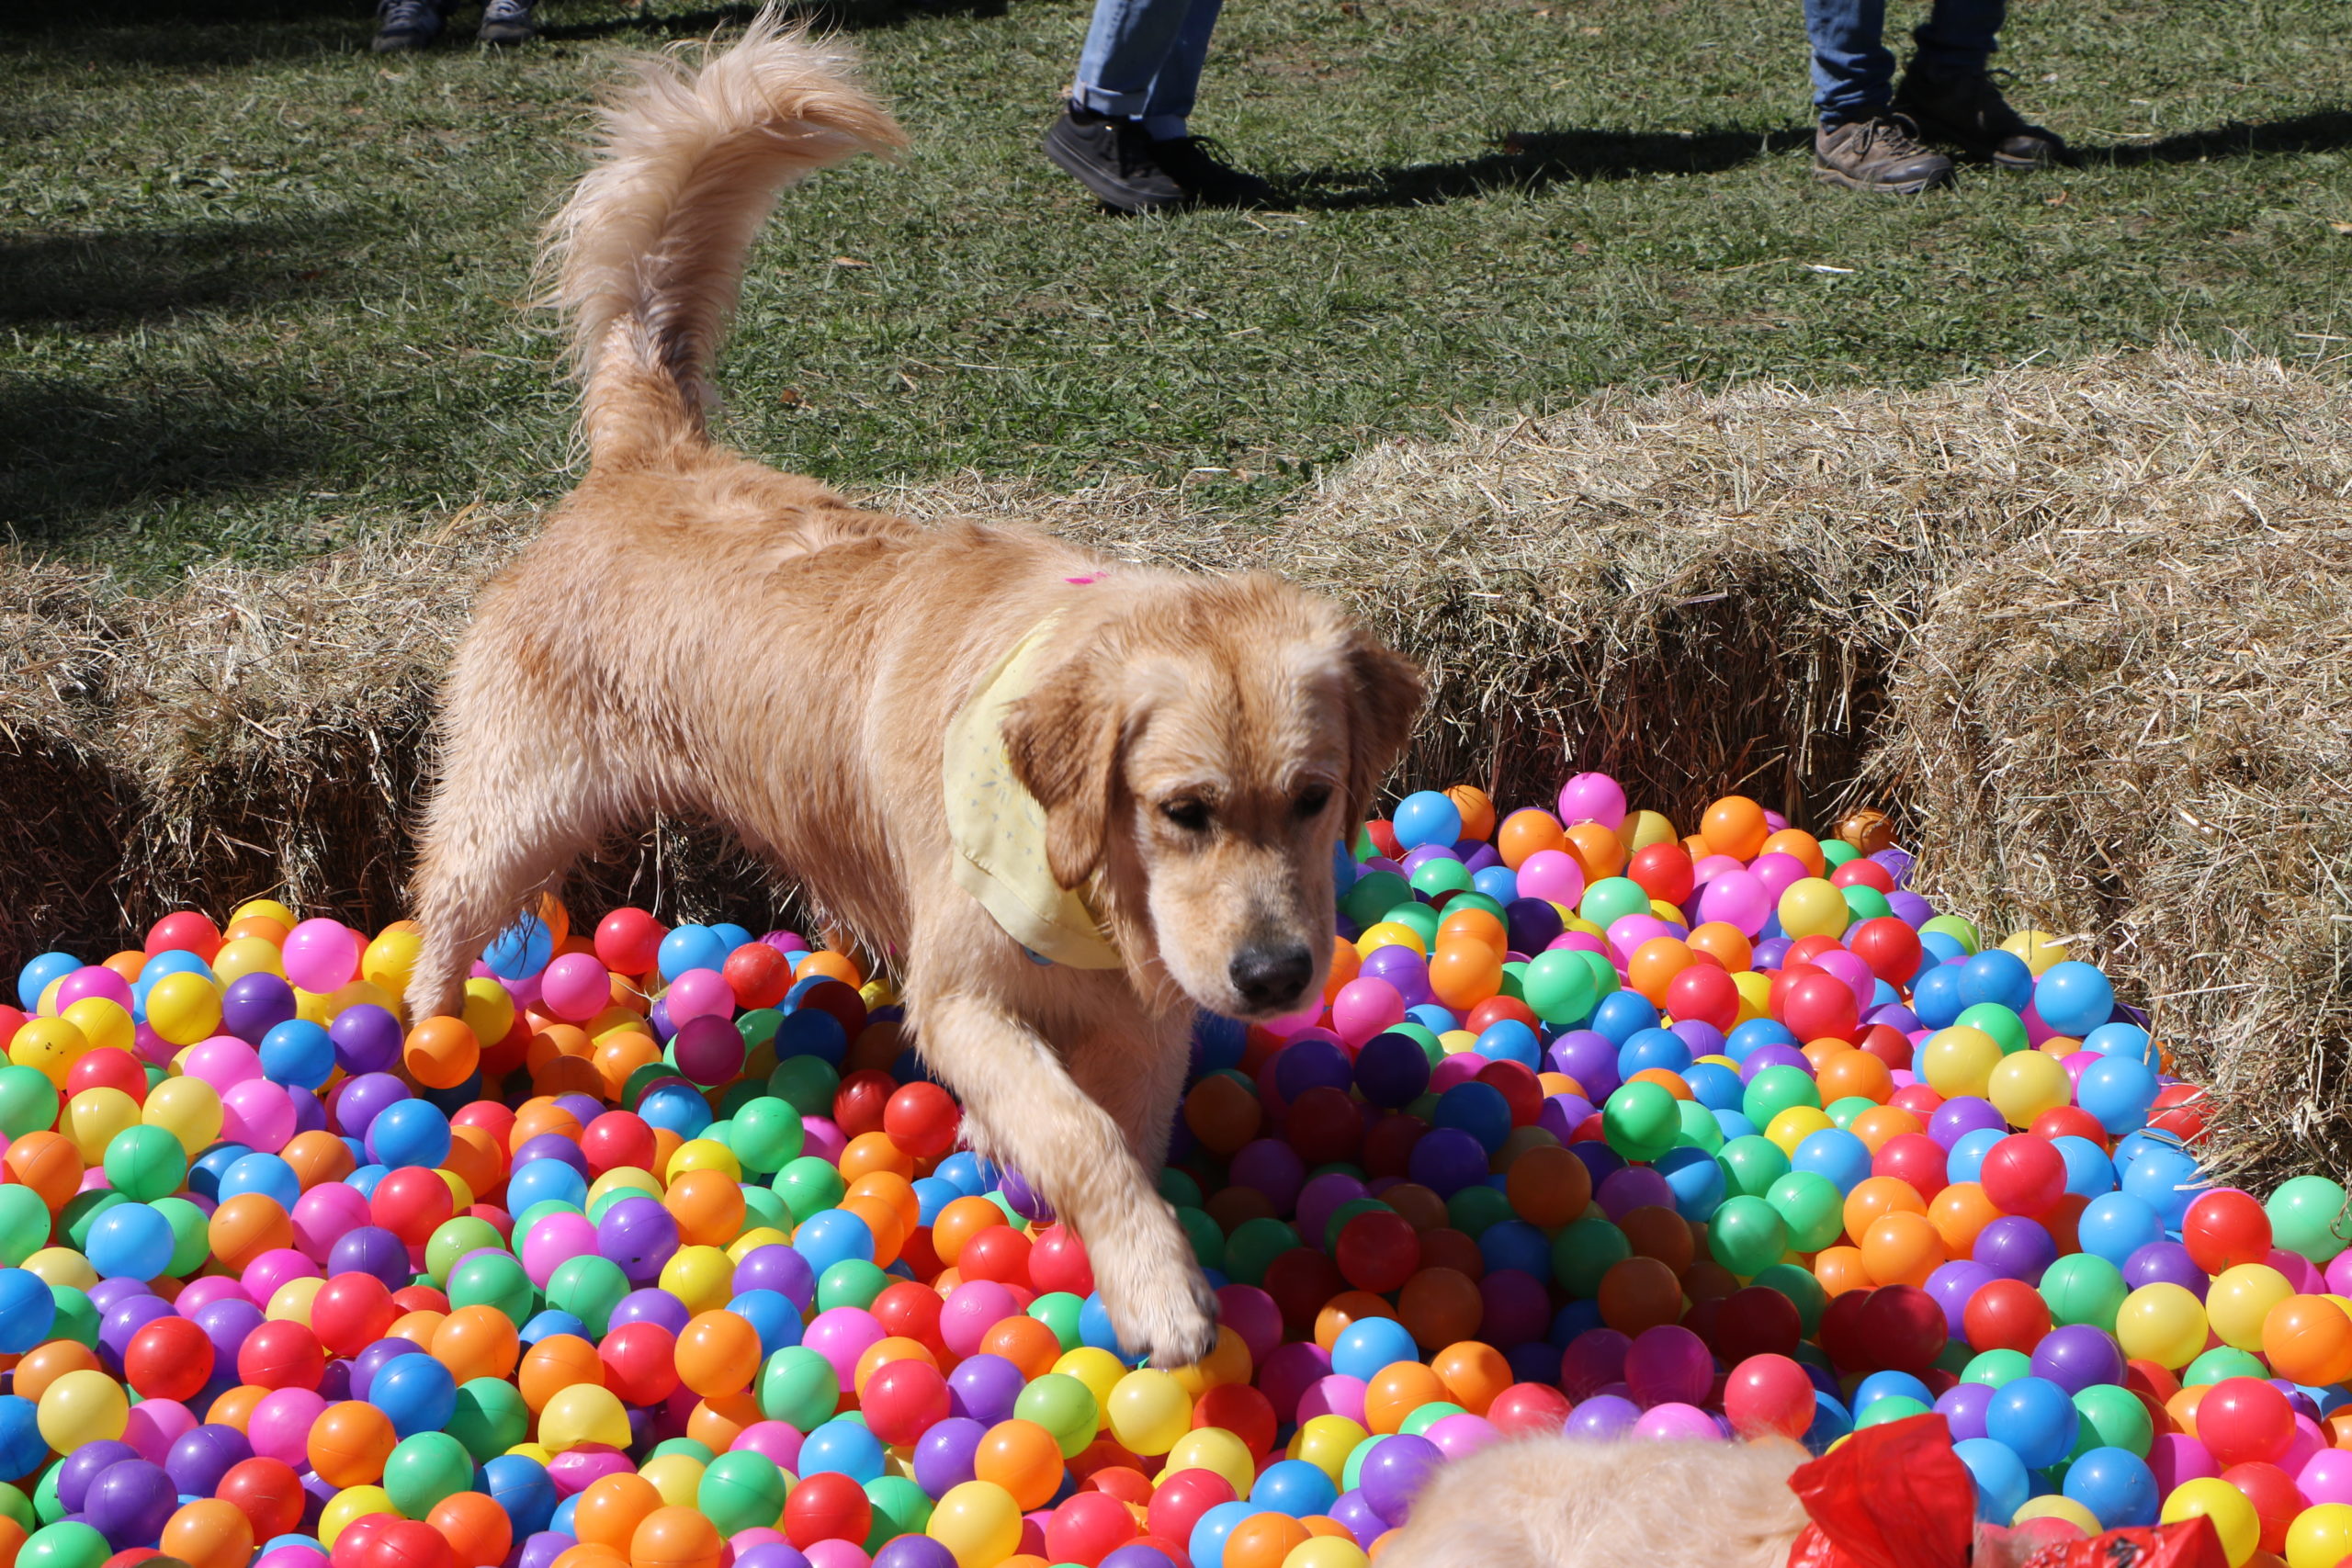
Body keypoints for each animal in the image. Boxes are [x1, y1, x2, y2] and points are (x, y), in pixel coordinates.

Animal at [402, 14, 1424, 1366]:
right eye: (1183, 810)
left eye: (1313, 797)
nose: (1274, 978)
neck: (1087, 878)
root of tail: (650, 451)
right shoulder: (966, 997)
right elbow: (1079, 1136)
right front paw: (1157, 1289)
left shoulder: (1144, 1017)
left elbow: (1117, 1128)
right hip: (523, 796)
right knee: (445, 901)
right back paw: (430, 1050)